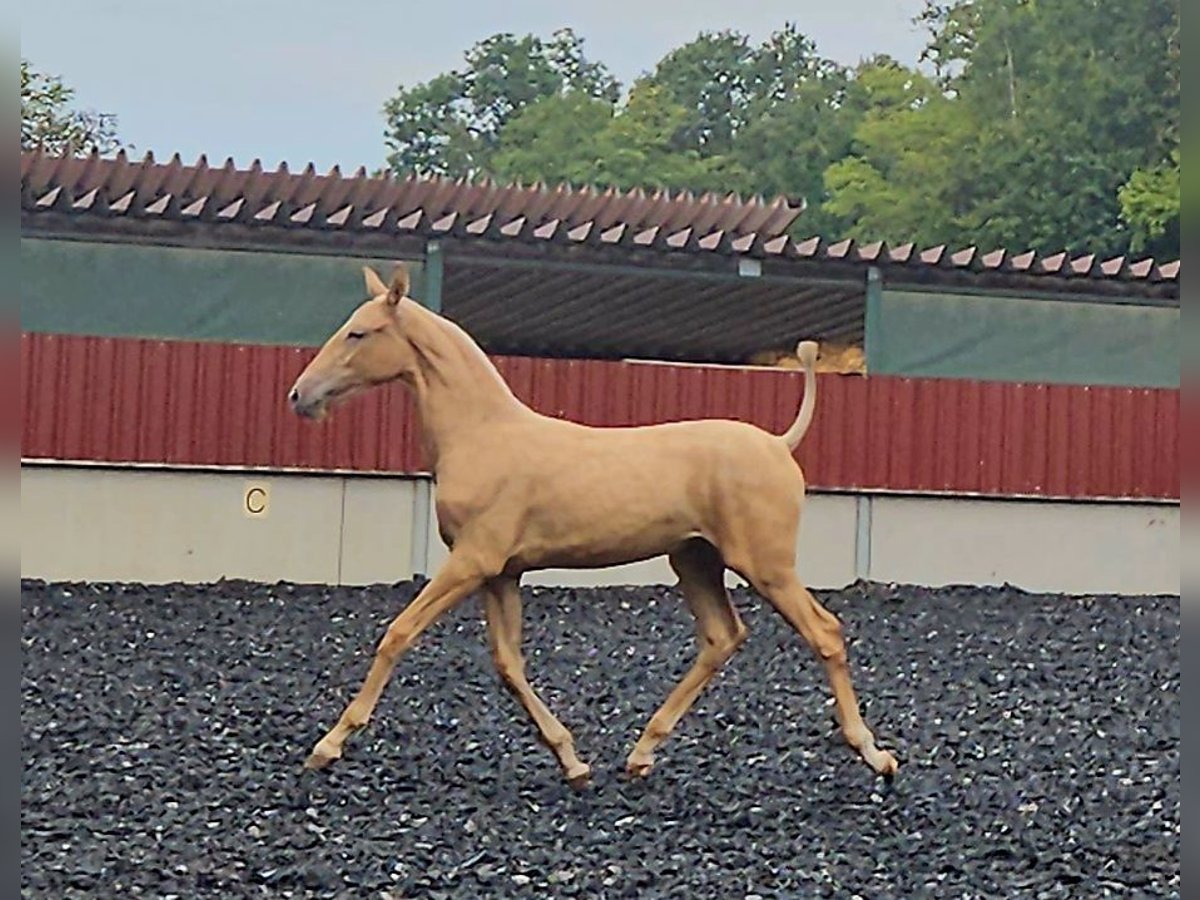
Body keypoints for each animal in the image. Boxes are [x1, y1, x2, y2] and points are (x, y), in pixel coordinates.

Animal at [285, 264, 897, 787]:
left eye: (358, 333)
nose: (299, 395)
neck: (482, 434)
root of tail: (778, 442)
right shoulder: (500, 573)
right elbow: (508, 664)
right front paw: (573, 761)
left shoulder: (471, 562)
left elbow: (398, 634)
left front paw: (327, 745)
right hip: (694, 559)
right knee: (723, 637)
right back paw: (641, 752)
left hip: (765, 564)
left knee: (824, 633)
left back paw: (873, 753)